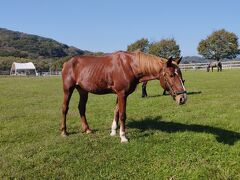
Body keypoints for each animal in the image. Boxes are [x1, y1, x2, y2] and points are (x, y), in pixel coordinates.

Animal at [60, 50, 188, 142]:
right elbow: (122, 115)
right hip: (68, 89)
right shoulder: (122, 94)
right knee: (65, 108)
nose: (182, 98)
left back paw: (87, 129)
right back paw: (64, 132)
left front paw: (113, 132)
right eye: (171, 75)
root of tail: (67, 63)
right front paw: (123, 136)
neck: (130, 66)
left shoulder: (119, 94)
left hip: (83, 90)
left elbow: (116, 111)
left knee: (81, 108)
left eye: (180, 74)